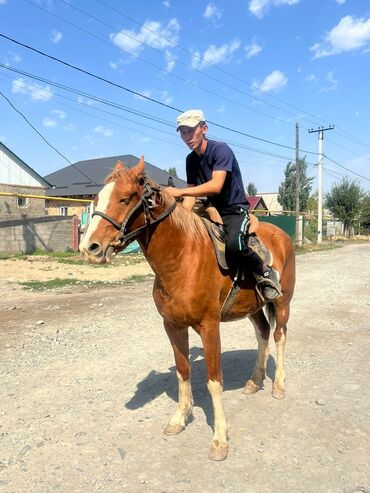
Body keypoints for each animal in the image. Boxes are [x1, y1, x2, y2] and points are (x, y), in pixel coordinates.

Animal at [80, 158, 294, 462]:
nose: (90, 248)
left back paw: (278, 386)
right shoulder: (173, 326)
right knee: (263, 334)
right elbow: (183, 372)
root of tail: (282, 236)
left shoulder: (209, 327)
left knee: (279, 337)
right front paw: (179, 419)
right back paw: (255, 381)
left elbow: (214, 381)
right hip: (253, 307)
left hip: (282, 303)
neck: (182, 258)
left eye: (125, 198)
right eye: (97, 198)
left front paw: (219, 439)